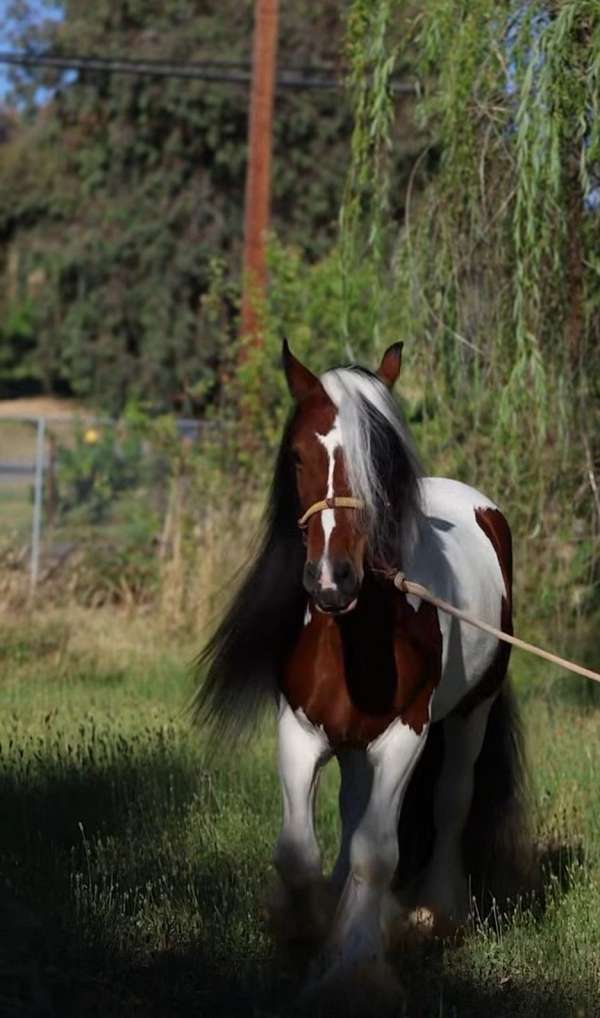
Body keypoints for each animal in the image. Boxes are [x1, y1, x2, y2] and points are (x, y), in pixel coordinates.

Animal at [193, 341, 530, 985]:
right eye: (297, 456)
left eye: (381, 458)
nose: (332, 580)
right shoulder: (300, 729)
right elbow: (298, 854)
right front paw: (308, 927)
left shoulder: (406, 734)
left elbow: (378, 852)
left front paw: (355, 964)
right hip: (351, 739)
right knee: (353, 807)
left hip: (472, 710)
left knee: (452, 798)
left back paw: (435, 911)